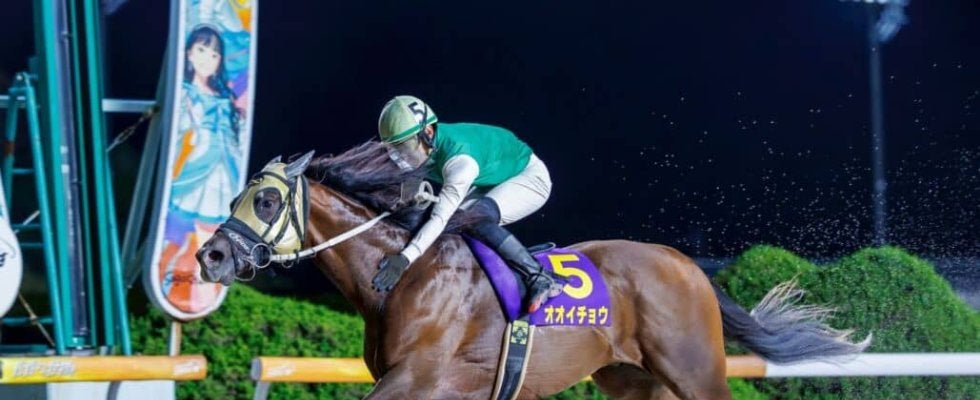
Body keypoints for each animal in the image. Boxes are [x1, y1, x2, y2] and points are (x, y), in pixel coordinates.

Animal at [196, 142, 869, 400]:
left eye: (266, 200)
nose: (211, 256)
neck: (407, 277)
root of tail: (689, 267)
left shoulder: (420, 378)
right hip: (634, 380)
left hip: (695, 370)